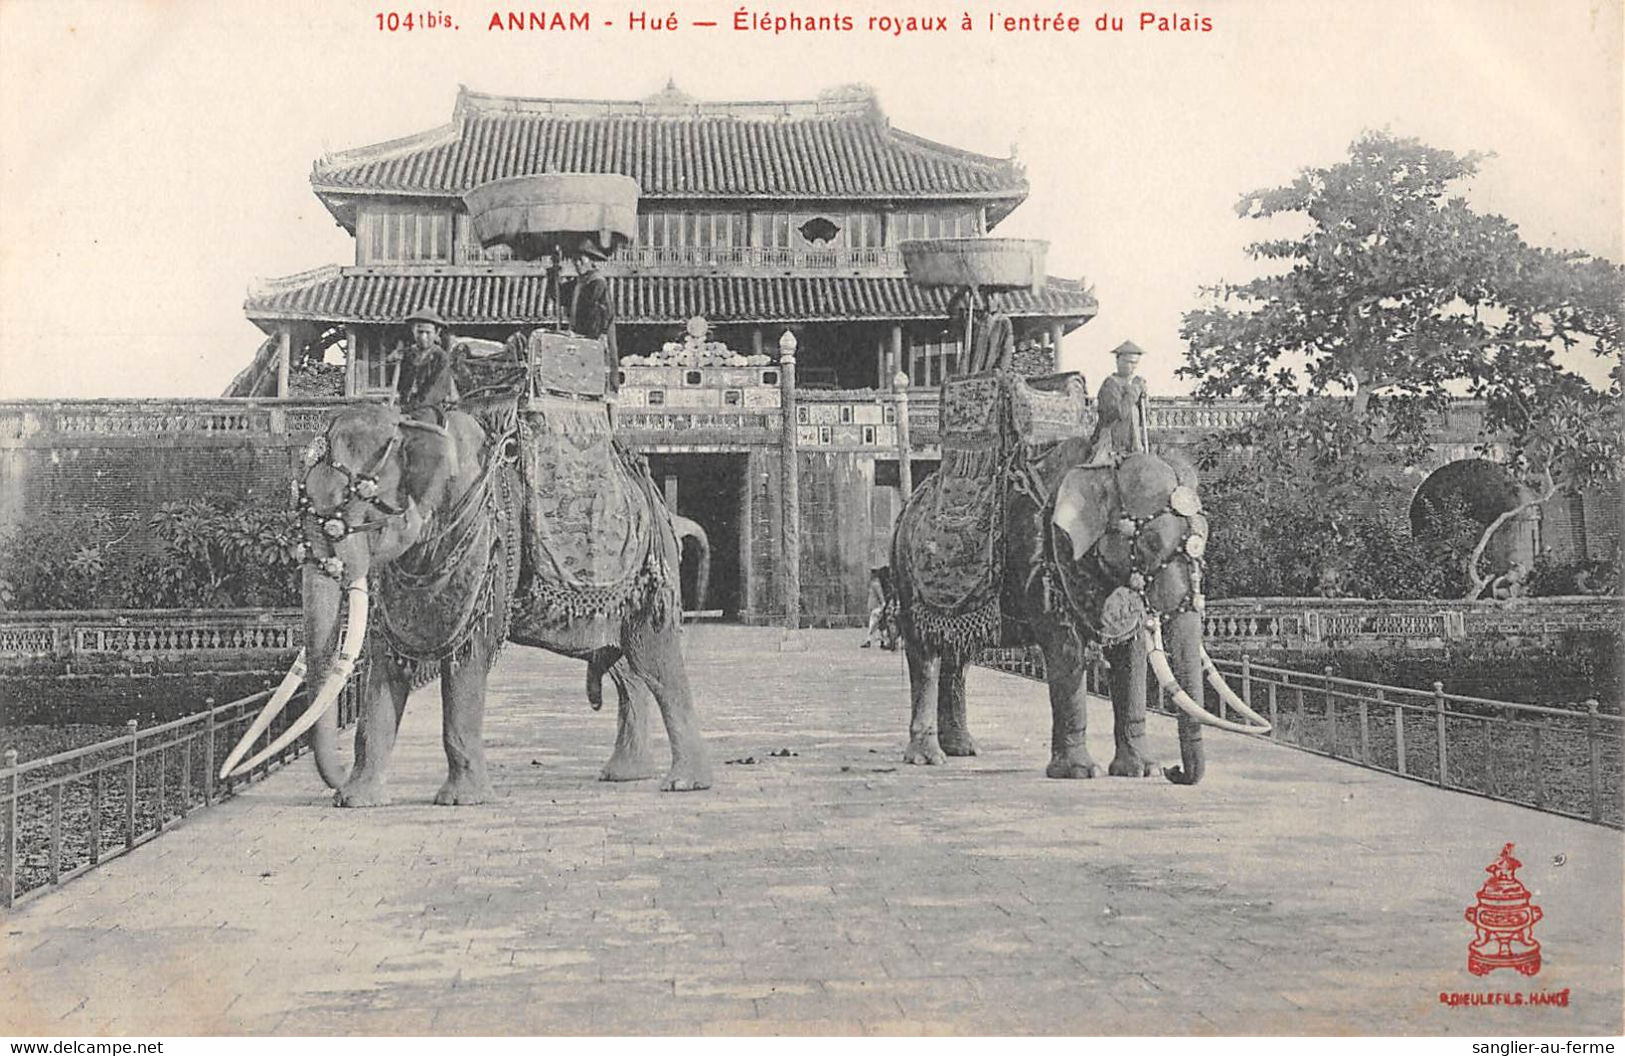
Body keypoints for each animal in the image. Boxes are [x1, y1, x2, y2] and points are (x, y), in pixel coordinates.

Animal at [219, 399, 715, 802]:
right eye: (302, 506)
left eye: (355, 508)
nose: (337, 780)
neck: (417, 423)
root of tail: (666, 512)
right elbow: (387, 659)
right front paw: (356, 800)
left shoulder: (487, 546)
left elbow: (469, 655)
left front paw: (460, 801)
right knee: (624, 669)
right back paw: (622, 775)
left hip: (649, 578)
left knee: (655, 661)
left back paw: (683, 783)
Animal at [897, 438, 1261, 779]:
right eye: (1151, 543)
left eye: (1206, 539)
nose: (1175, 771)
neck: (1100, 465)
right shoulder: (1038, 557)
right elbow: (1065, 648)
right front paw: (1080, 772)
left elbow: (1132, 652)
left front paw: (1143, 770)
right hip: (907, 576)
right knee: (925, 654)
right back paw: (927, 758)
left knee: (959, 657)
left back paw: (963, 749)